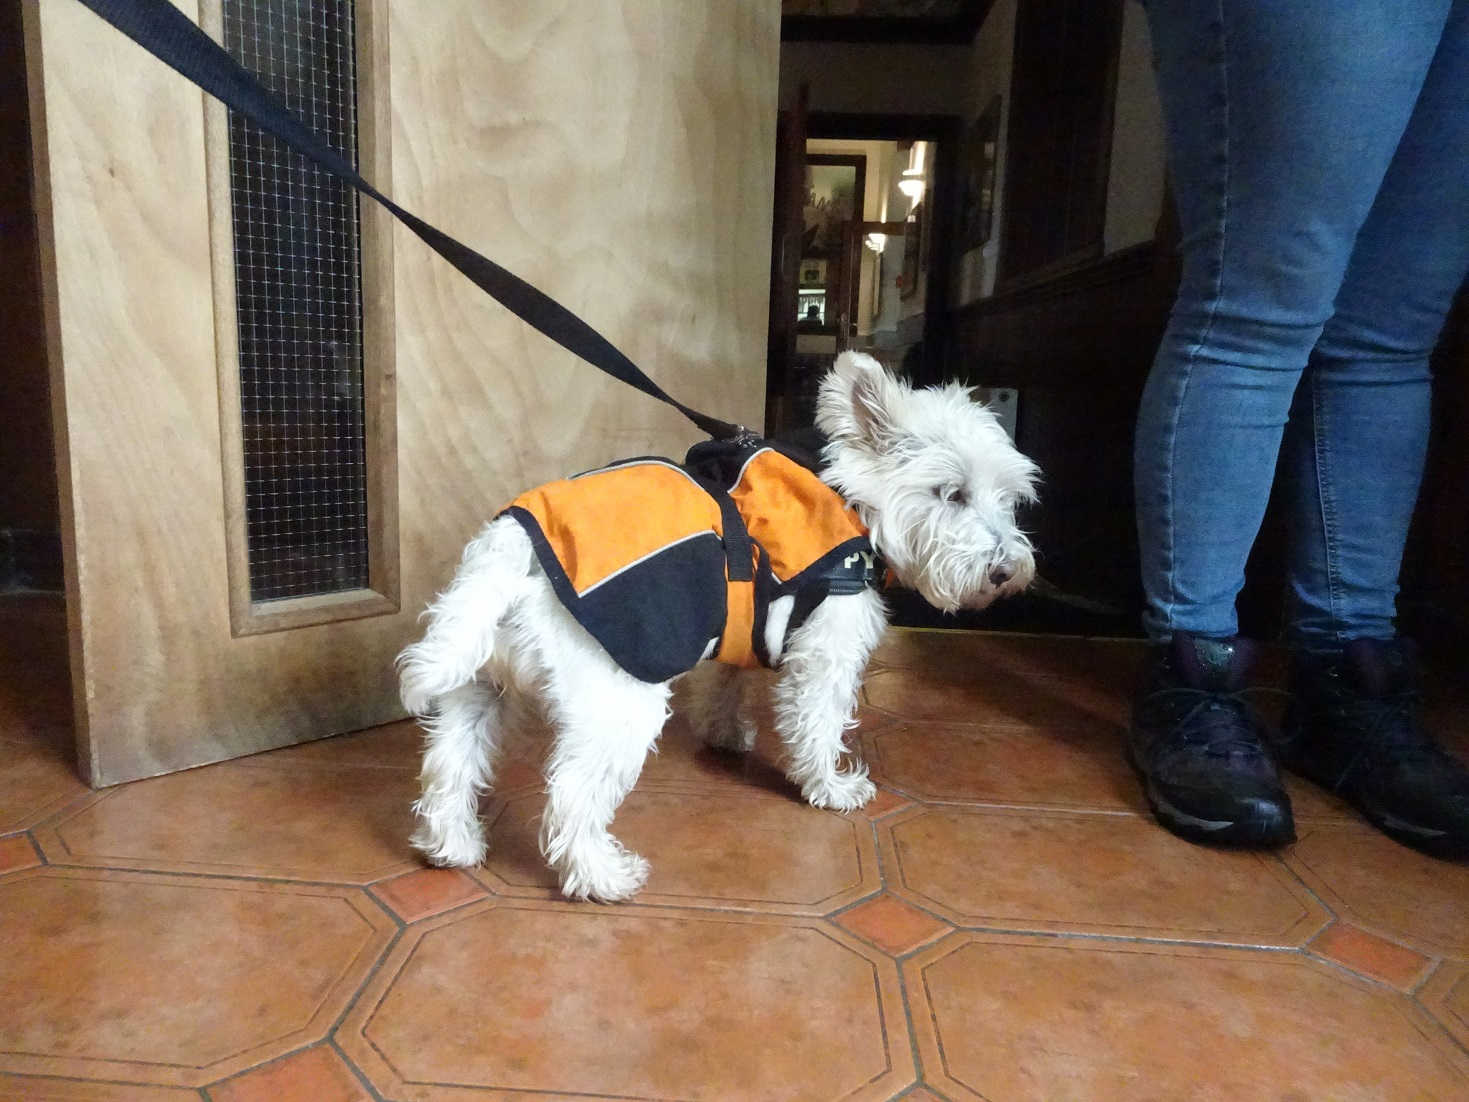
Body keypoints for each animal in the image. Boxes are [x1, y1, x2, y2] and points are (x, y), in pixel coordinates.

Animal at [396, 354, 1040, 905]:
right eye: (952, 493)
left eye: (1010, 498)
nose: (1007, 572)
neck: (848, 495)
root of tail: (512, 549)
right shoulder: (826, 651)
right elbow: (818, 724)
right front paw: (829, 788)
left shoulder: (741, 620)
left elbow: (728, 680)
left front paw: (727, 733)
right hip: (619, 705)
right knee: (571, 795)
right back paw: (600, 876)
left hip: (476, 690)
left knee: (448, 768)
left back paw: (453, 846)